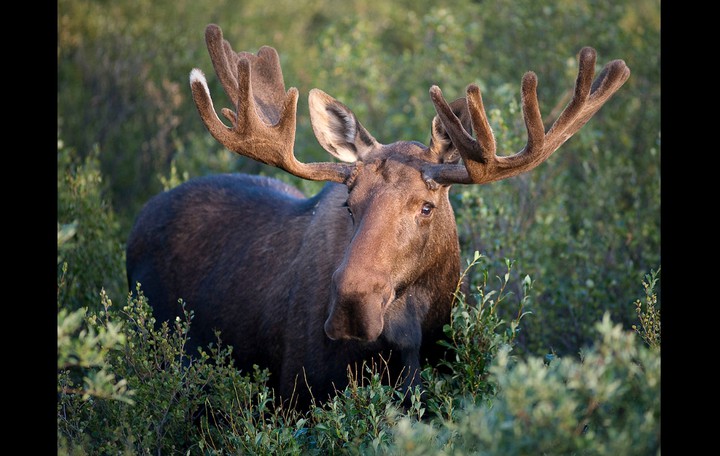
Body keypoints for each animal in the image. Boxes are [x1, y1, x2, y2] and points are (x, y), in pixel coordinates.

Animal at [126, 23, 630, 411]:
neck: (408, 342)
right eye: (348, 204)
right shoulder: (294, 398)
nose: (353, 306)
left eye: (426, 206)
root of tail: (141, 215)